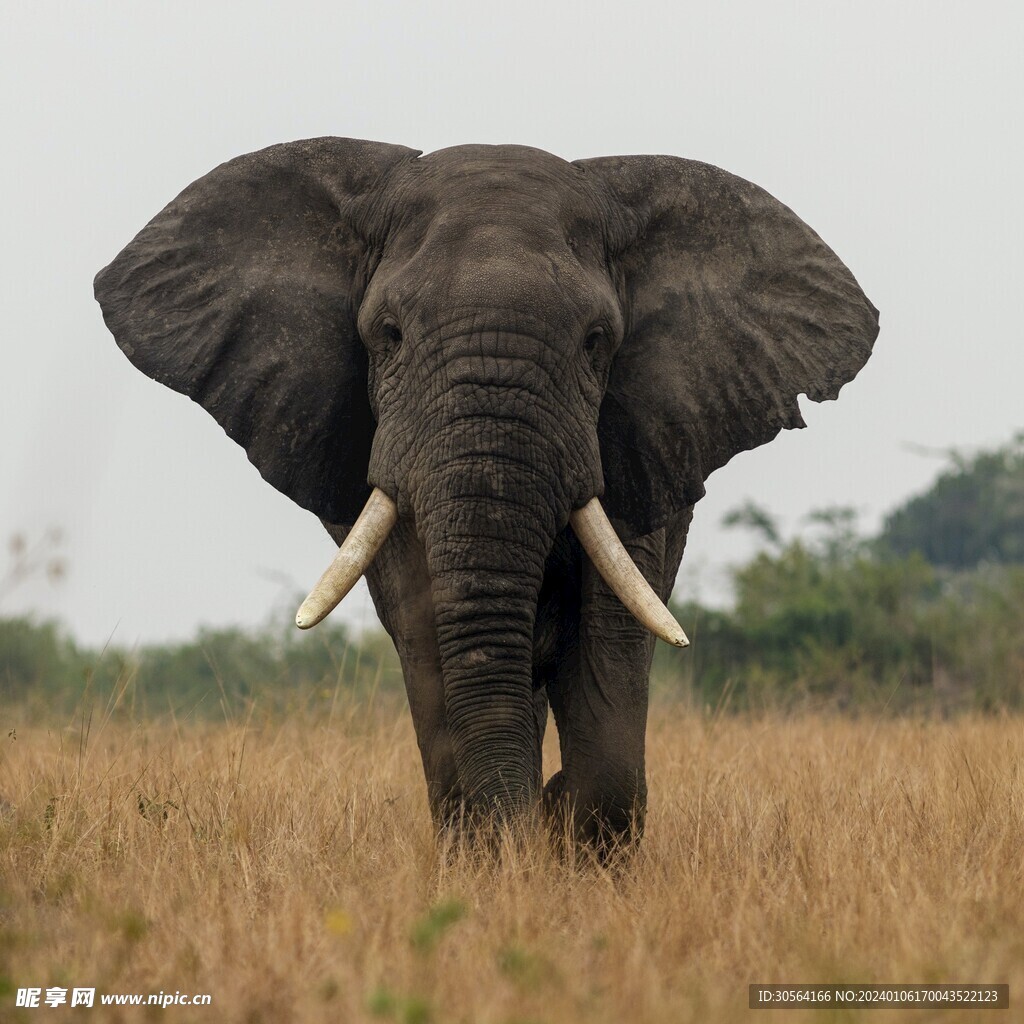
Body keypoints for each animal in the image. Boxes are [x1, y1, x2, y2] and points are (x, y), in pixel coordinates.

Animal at [95, 138, 878, 847]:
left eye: (597, 341)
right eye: (388, 334)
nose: (533, 817)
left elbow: (608, 635)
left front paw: (562, 824)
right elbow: (430, 632)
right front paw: (499, 851)